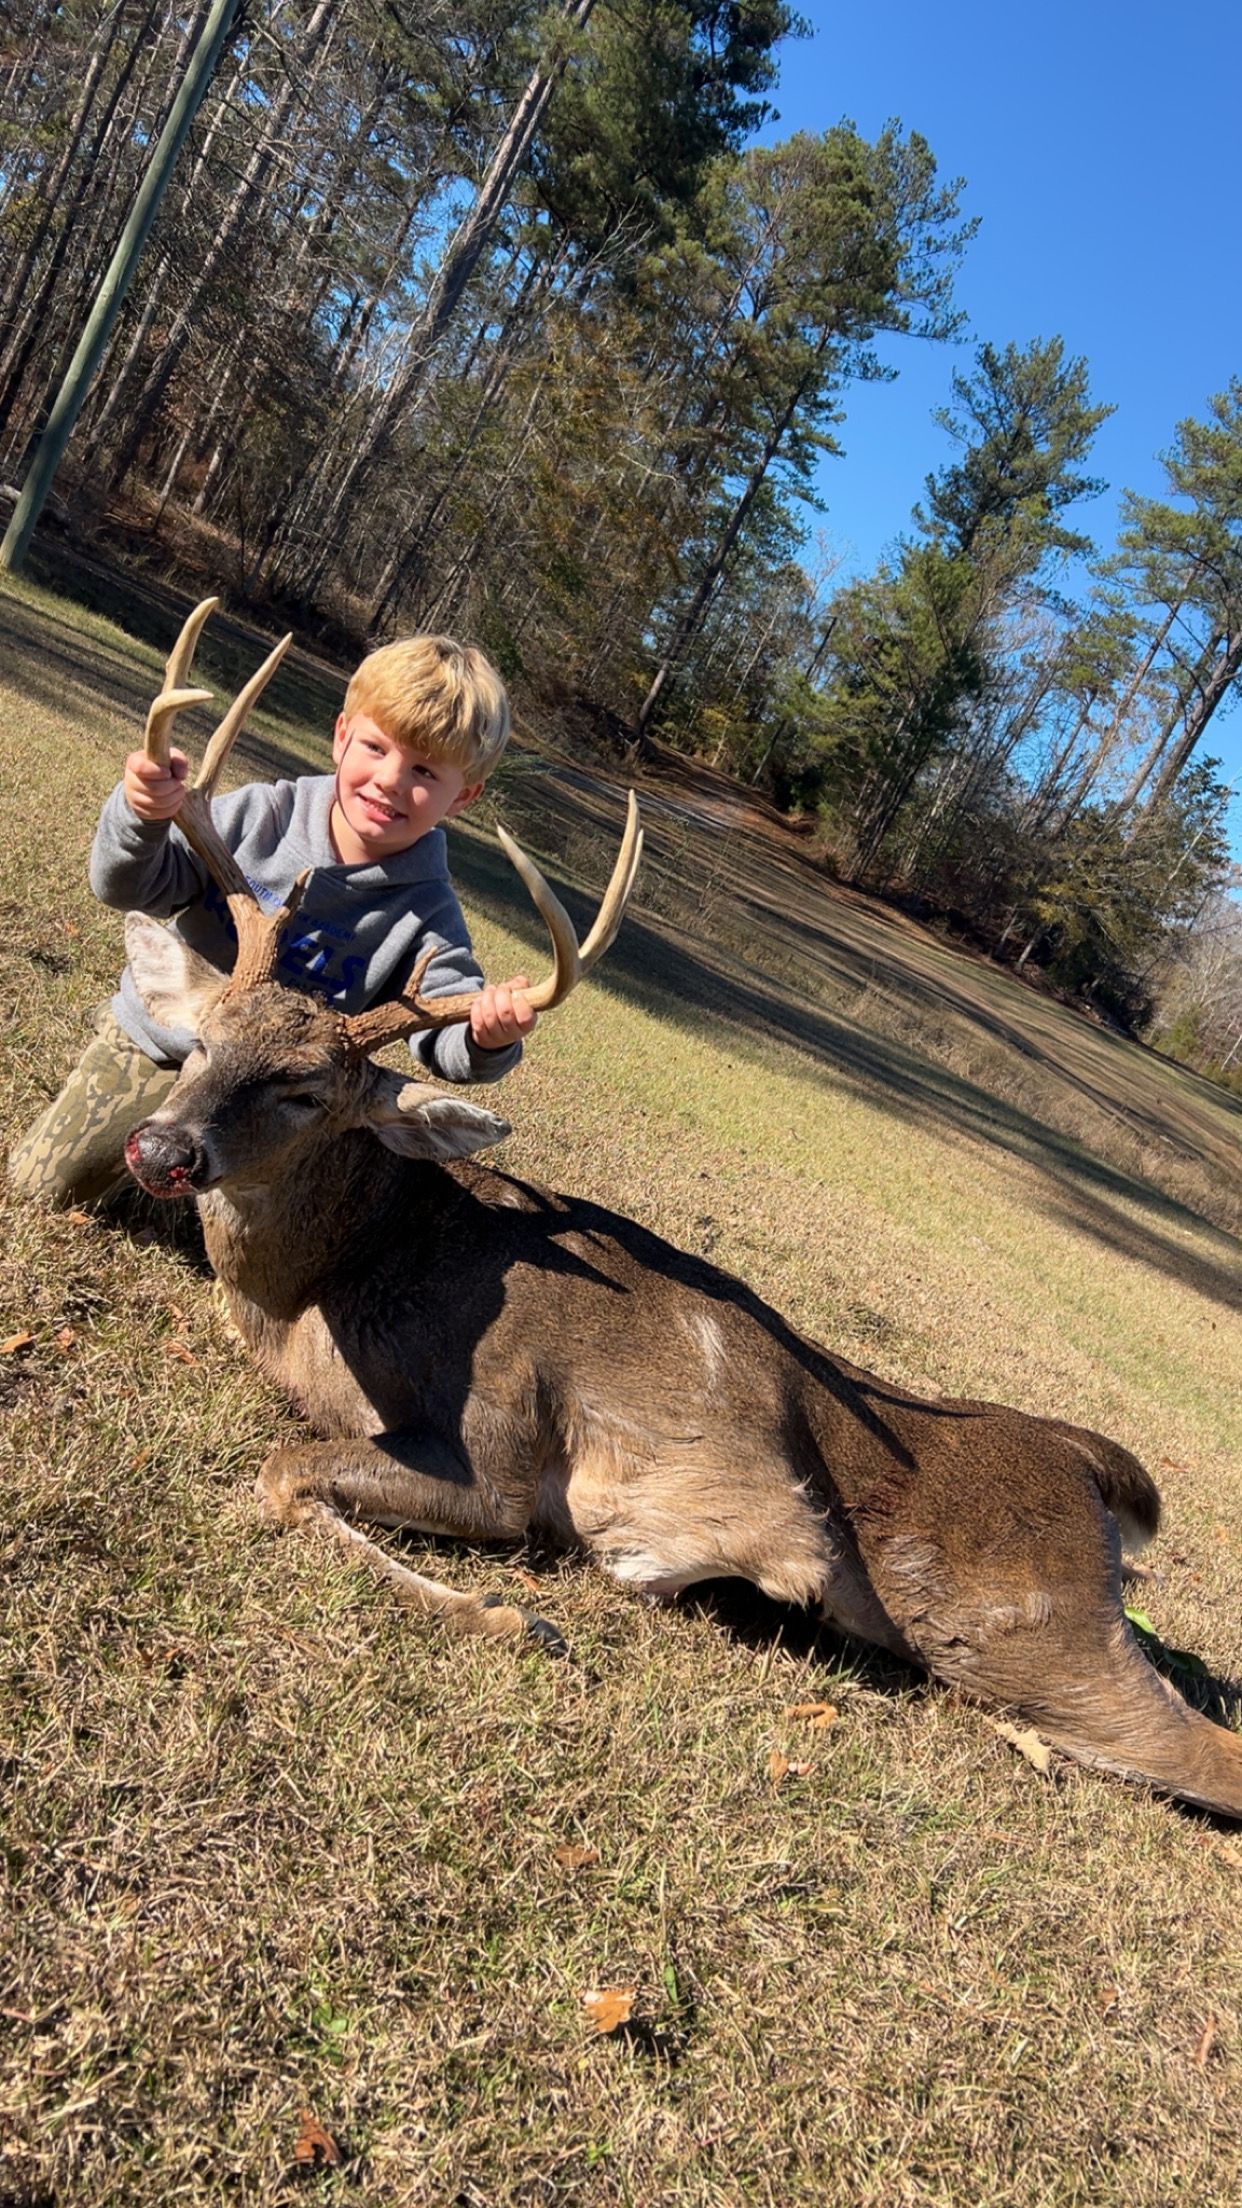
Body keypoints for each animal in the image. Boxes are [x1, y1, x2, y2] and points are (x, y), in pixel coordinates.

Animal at [119, 604, 1242, 1820]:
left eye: (304, 1089)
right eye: (204, 1039)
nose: (163, 1148)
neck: (325, 1287)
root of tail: (1093, 1465)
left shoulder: (498, 1447)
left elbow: (284, 1474)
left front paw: (515, 1618)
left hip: (1025, 1625)